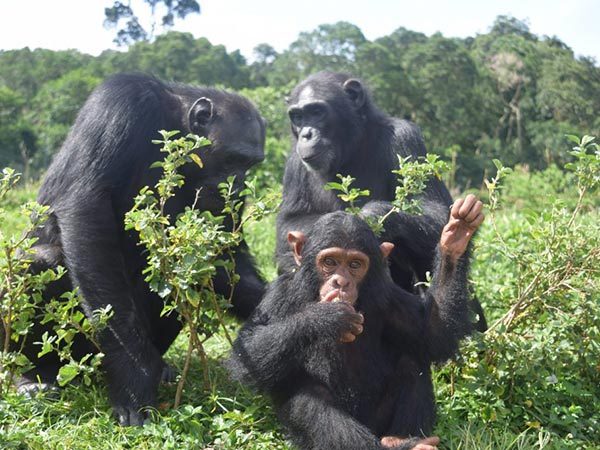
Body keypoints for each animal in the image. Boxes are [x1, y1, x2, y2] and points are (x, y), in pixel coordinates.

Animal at [17, 73, 264, 426]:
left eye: (251, 164)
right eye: (233, 159)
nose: (239, 183)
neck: (174, 121)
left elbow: (225, 256)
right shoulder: (122, 101)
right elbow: (86, 207)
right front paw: (133, 375)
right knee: (38, 263)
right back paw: (36, 378)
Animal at [227, 194, 486, 450]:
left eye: (354, 265)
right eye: (330, 262)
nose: (341, 282)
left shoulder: (388, 296)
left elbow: (432, 332)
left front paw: (455, 238)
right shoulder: (279, 295)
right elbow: (247, 352)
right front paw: (327, 317)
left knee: (411, 362)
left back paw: (402, 440)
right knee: (308, 396)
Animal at [276, 70, 488, 330]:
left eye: (317, 112)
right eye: (298, 116)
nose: (306, 133)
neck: (351, 147)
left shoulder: (405, 138)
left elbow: (436, 210)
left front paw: (368, 217)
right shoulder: (294, 162)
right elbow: (289, 223)